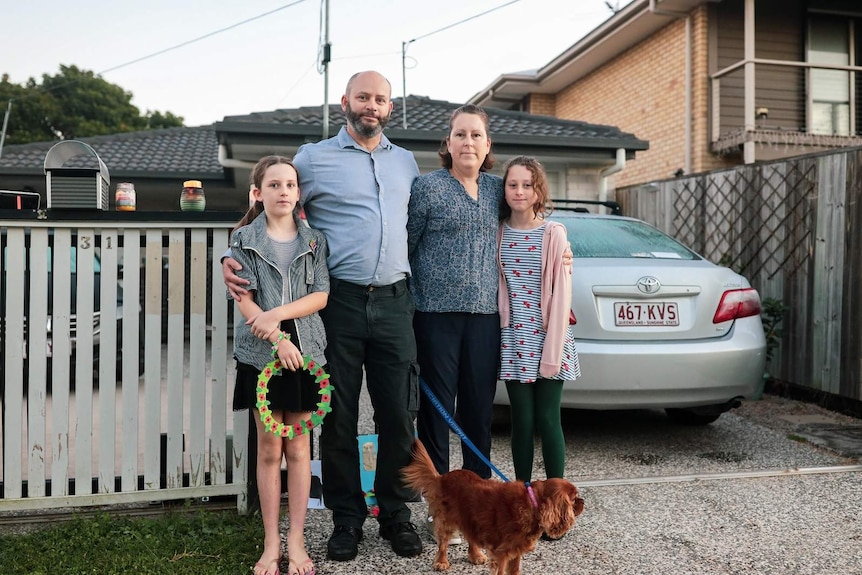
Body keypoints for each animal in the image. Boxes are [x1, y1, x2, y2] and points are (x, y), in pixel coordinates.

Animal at [404, 438, 588, 572]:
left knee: (471, 537)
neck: (533, 505)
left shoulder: (515, 552)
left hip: (470, 518)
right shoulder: (502, 554)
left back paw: (476, 555)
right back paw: (441, 562)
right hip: (446, 520)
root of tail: (442, 477)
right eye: (574, 499)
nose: (583, 501)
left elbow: (515, 571)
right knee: (443, 543)